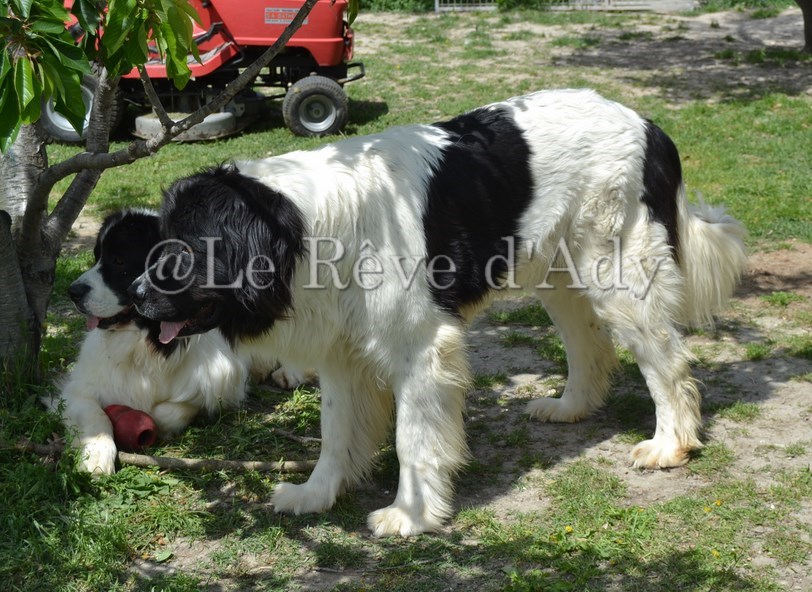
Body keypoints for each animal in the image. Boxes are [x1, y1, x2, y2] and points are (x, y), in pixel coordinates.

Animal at [55, 208, 250, 474]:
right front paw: (95, 454)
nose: (72, 292)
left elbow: (172, 410)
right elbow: (95, 415)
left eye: (119, 261)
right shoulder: (78, 389)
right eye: (96, 256)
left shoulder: (221, 383)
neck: (147, 343)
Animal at [128, 89, 747, 536]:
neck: (308, 228)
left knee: (666, 362)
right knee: (587, 342)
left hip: (618, 275)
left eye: (184, 250)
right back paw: (570, 407)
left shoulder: (421, 350)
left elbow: (413, 439)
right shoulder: (342, 351)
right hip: (557, 271)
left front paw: (411, 515)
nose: (135, 295)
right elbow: (335, 429)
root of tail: (648, 124)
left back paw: (669, 445)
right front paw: (317, 493)